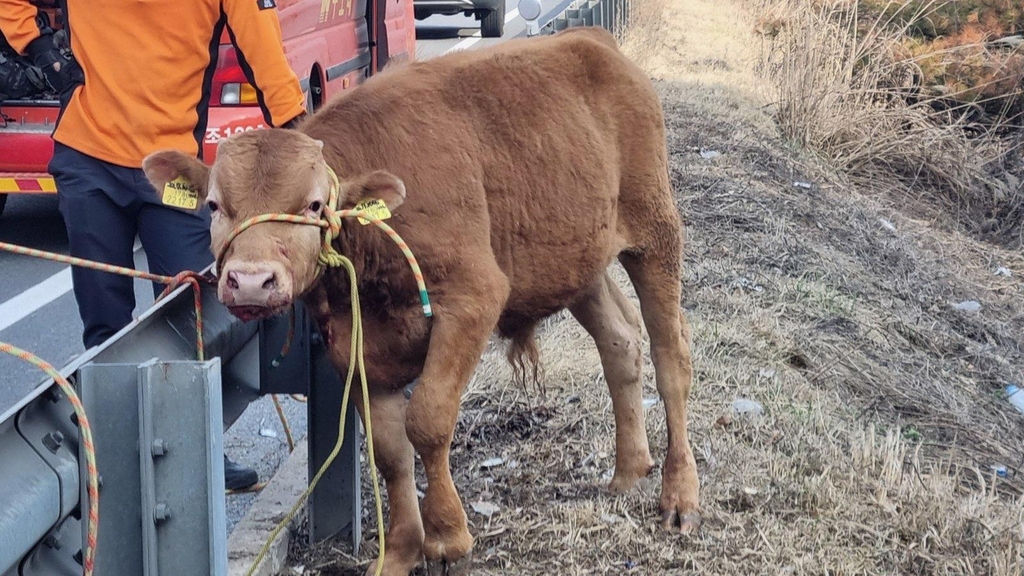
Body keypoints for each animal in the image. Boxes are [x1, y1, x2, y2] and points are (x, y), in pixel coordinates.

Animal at [144, 26, 700, 573]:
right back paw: (629, 469)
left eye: (315, 204)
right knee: (620, 343)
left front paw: (448, 534)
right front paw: (401, 550)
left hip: (655, 231)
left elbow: (427, 421)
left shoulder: (474, 297)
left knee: (670, 356)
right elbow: (389, 449)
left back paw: (679, 494)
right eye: (214, 206)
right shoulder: (354, 343)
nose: (250, 280)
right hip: (578, 263)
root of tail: (594, 41)